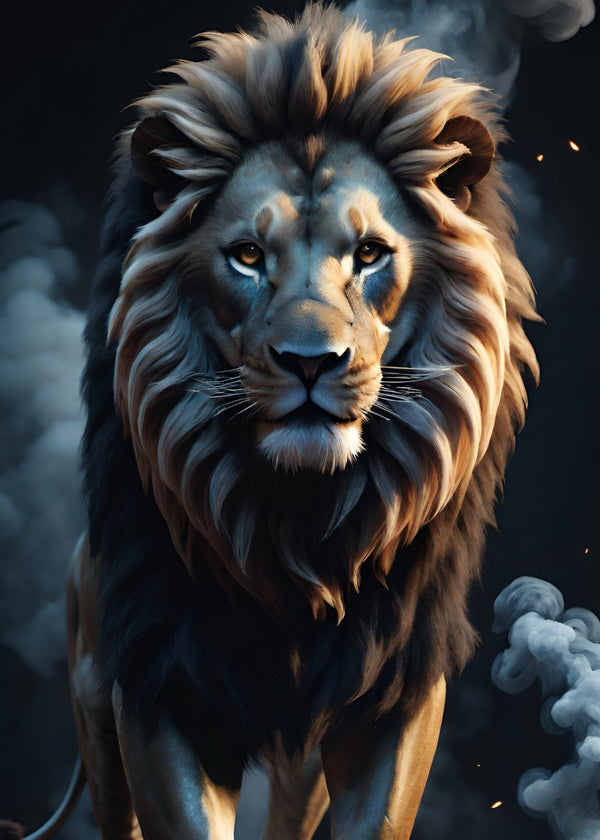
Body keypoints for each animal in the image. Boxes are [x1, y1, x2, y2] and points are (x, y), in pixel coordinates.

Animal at [64, 4, 539, 839]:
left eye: (371, 253)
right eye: (248, 256)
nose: (311, 362)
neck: (297, 523)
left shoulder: (393, 686)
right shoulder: (159, 679)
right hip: (94, 693)